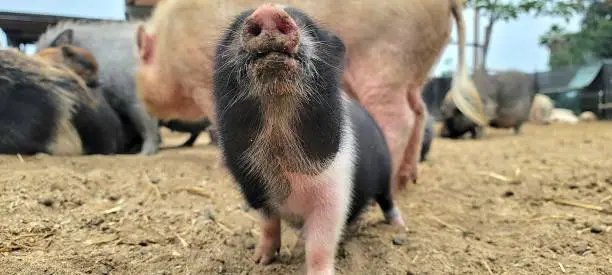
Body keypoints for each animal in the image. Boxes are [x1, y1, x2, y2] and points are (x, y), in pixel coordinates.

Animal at [213, 4, 408, 275]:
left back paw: (400, 227)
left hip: (386, 170)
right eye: (233, 30)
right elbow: (269, 225)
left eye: (311, 29)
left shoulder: (333, 192)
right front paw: (260, 260)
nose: (268, 10)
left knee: (387, 199)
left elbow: (320, 244)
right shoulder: (254, 189)